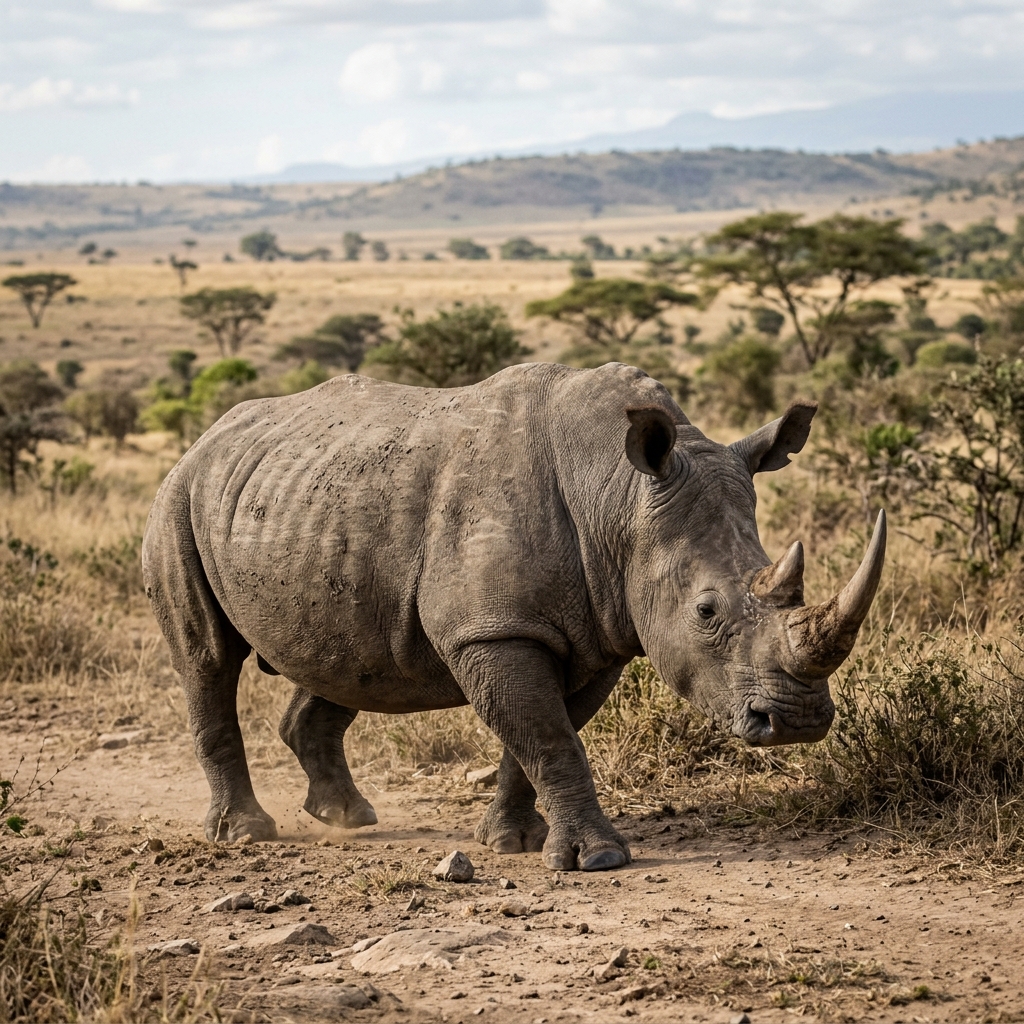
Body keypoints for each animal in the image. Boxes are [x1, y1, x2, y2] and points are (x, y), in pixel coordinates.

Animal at [142, 362, 885, 871]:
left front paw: (514, 842)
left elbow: (537, 736)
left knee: (345, 654)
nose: (798, 722)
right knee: (207, 657)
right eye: (706, 611)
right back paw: (246, 833)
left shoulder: (593, 631)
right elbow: (550, 737)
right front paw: (598, 860)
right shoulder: (495, 629)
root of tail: (207, 436)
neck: (618, 495)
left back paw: (348, 817)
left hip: (310, 505)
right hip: (178, 497)